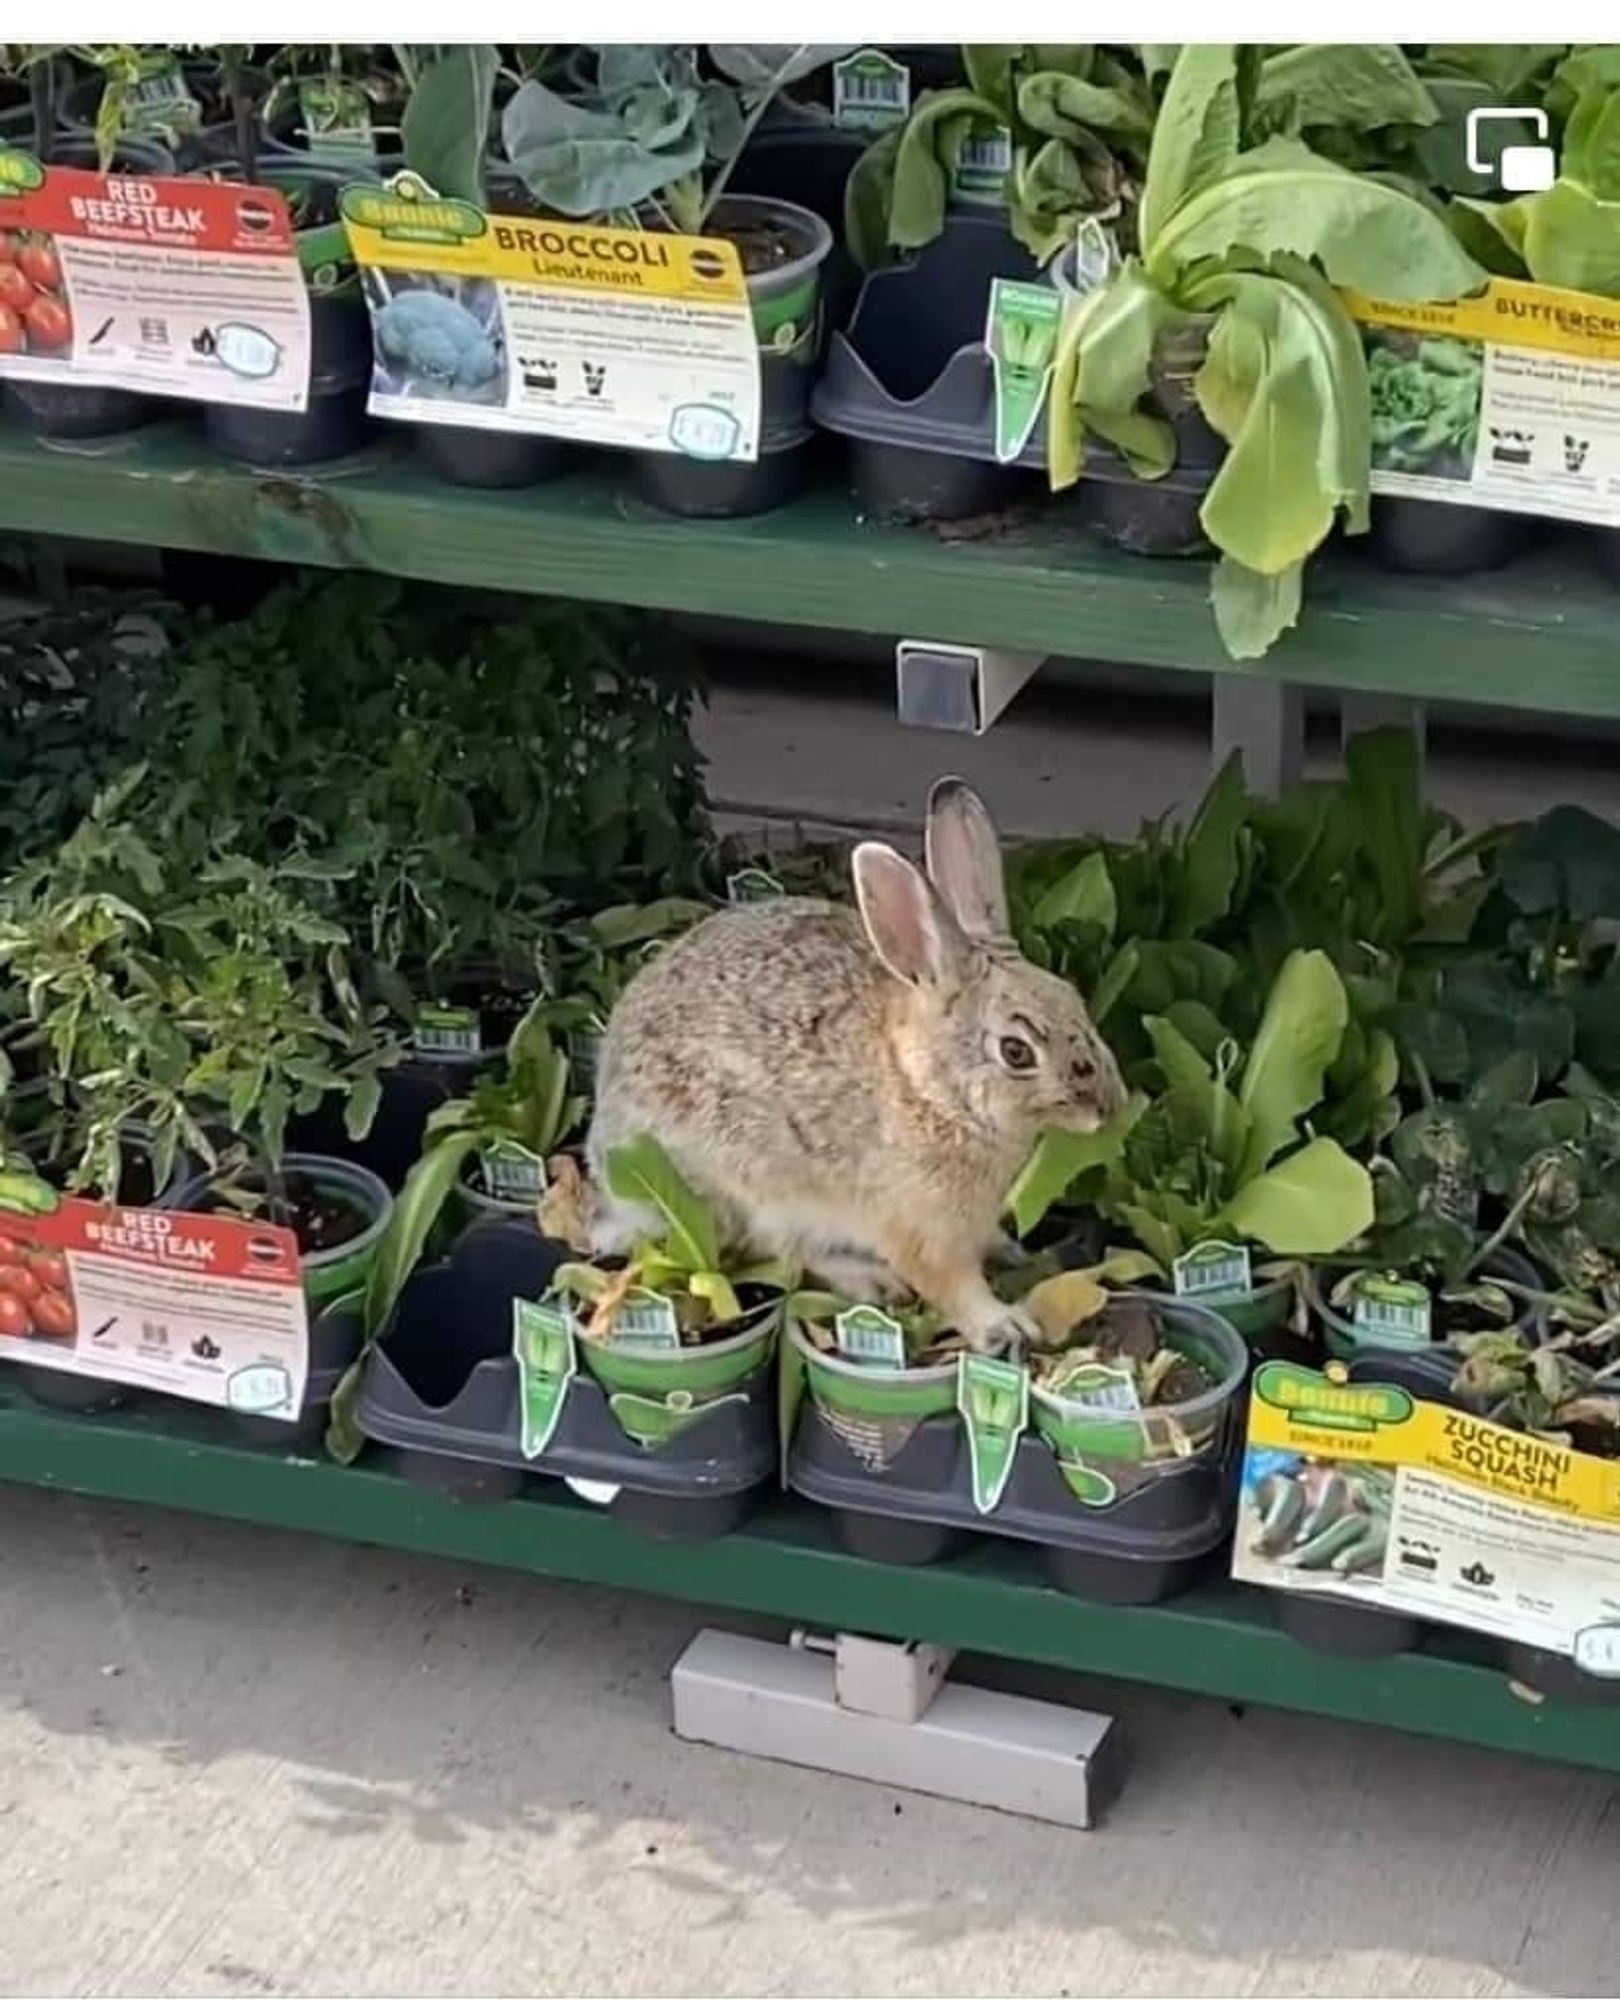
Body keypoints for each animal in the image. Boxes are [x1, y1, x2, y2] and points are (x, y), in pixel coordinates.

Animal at [580, 772, 1120, 1352]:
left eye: (1073, 998)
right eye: (1016, 1051)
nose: (1108, 1107)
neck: (929, 1091)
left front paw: (1007, 1251)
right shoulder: (920, 1227)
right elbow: (949, 1283)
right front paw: (1005, 1325)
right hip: (740, 1189)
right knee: (778, 1251)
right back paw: (869, 1279)